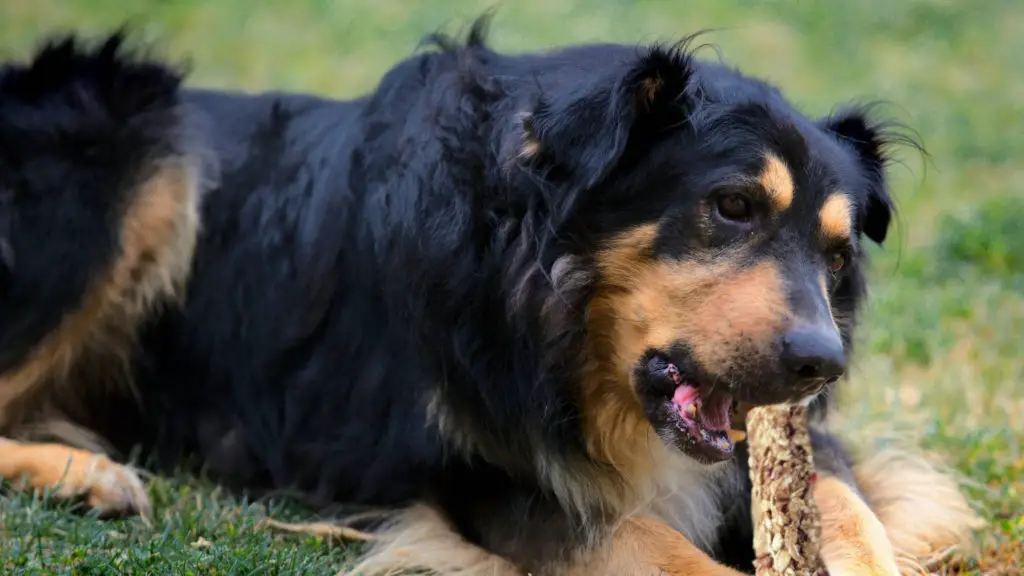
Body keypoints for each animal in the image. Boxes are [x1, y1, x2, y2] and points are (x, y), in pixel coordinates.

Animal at [0, 17, 983, 573]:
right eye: (732, 206)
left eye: (835, 253)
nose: (824, 364)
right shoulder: (479, 472)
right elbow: (653, 545)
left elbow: (850, 515)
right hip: (133, 143)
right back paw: (84, 475)